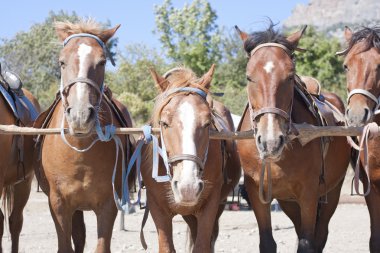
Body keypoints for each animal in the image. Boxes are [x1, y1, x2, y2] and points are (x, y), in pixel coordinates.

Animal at [33, 20, 134, 253]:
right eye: (61, 62)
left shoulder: (108, 205)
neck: (79, 150)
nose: (80, 116)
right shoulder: (59, 204)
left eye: (102, 62)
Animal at [142, 65, 240, 253]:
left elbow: (202, 245)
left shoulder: (209, 207)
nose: (188, 187)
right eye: (164, 123)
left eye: (208, 123)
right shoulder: (157, 209)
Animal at [236, 22, 352, 252]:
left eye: (290, 76)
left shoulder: (309, 194)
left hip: (331, 192)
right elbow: (268, 242)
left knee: (320, 234)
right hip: (288, 201)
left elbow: (307, 243)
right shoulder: (257, 194)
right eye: (248, 77)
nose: (270, 142)